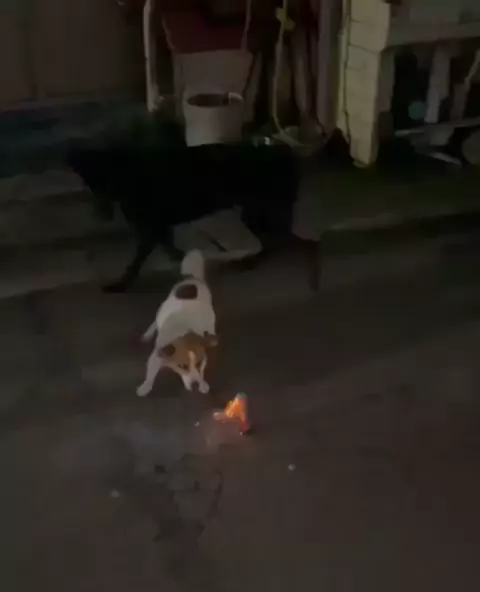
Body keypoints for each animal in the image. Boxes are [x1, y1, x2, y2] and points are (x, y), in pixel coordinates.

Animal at [67, 141, 299, 292]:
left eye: (110, 177)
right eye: (93, 179)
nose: (105, 196)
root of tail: (283, 152)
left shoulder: (152, 228)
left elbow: (138, 260)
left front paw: (122, 284)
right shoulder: (159, 228)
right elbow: (168, 248)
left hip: (264, 207)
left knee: (272, 238)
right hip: (255, 210)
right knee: (269, 238)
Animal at [136, 249, 217, 396]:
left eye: (199, 363)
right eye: (182, 366)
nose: (195, 385)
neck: (184, 331)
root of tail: (192, 279)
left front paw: (203, 383)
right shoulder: (157, 355)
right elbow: (150, 374)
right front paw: (145, 386)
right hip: (162, 308)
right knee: (155, 321)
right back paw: (148, 333)